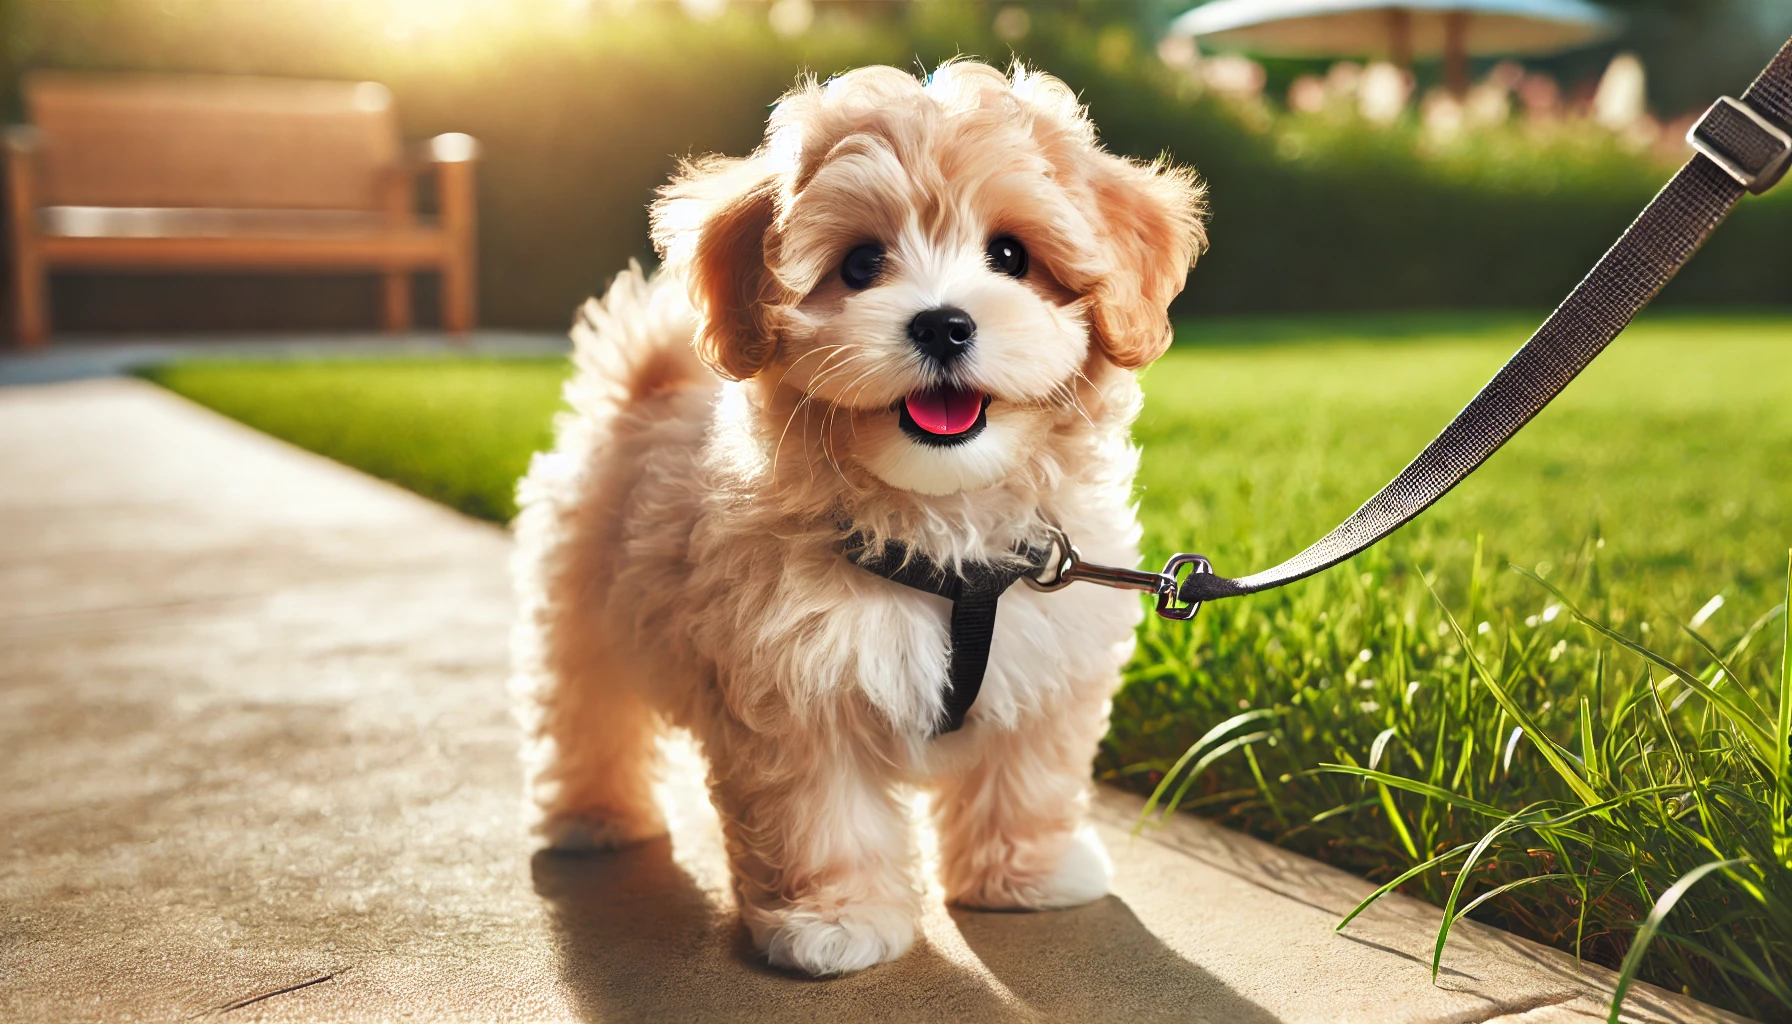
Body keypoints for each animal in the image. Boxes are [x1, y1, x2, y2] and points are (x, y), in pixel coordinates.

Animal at [508, 62, 1204, 975]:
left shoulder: (1045, 661)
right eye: (862, 262)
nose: (943, 323)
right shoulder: (796, 685)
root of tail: (645, 388)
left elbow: (1029, 773)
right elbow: (820, 810)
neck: (943, 529)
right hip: (579, 601)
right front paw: (832, 923)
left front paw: (1026, 875)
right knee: (586, 707)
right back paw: (595, 817)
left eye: (1010, 256)